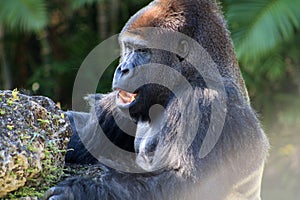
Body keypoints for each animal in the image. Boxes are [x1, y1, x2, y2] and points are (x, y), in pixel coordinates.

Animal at [44, 0, 270, 200]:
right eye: (128, 47)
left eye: (143, 51)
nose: (122, 69)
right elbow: (86, 136)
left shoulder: (208, 102)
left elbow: (187, 185)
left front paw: (79, 190)